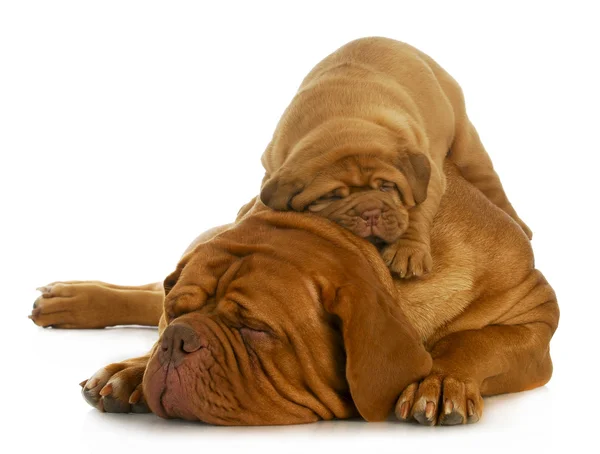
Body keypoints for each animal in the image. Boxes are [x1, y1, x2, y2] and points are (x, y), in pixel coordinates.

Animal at [29, 164, 556, 426]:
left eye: (255, 329)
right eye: (177, 314)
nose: (177, 338)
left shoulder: (536, 317)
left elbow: (476, 340)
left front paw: (442, 380)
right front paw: (133, 368)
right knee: (148, 289)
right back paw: (72, 303)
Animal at [260, 36, 532, 276]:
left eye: (387, 187)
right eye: (331, 196)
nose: (370, 212)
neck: (343, 123)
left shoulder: (429, 176)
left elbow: (418, 210)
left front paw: (408, 250)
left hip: (466, 144)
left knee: (491, 184)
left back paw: (521, 226)